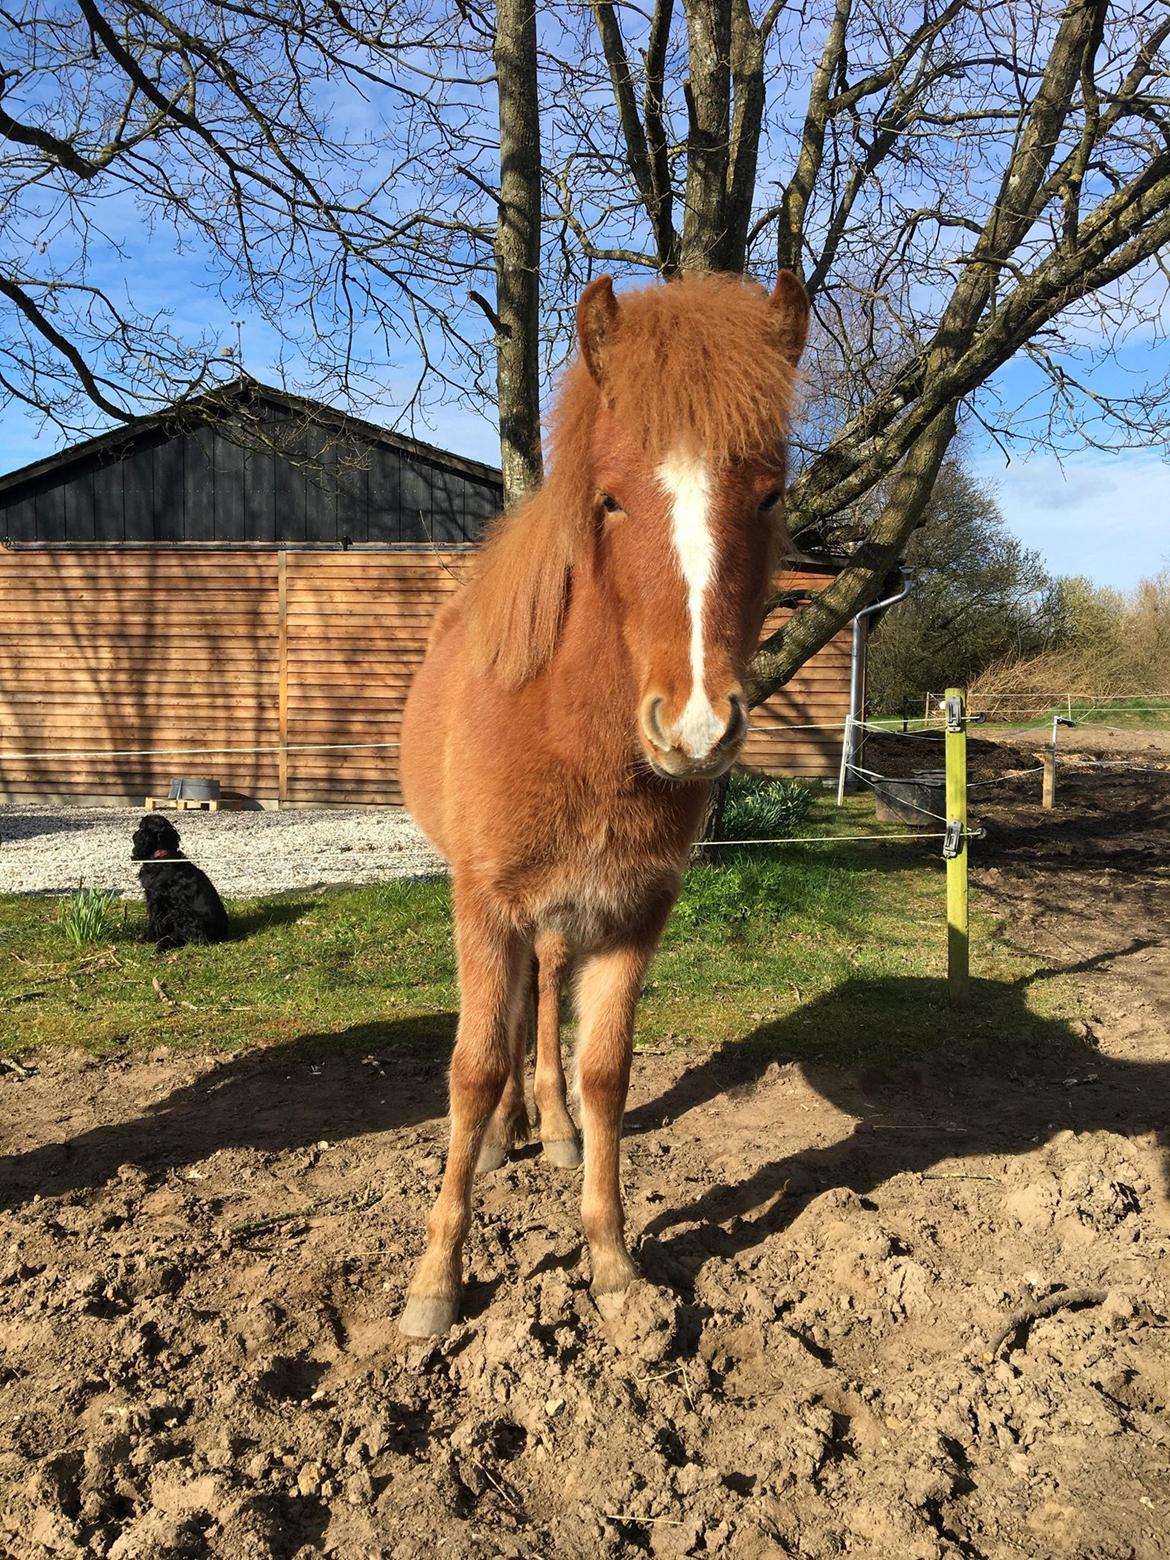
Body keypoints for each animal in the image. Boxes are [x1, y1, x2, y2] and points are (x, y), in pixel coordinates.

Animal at [131, 817, 230, 948]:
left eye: (141, 827)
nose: (134, 834)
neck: (163, 857)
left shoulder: (155, 900)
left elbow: (154, 921)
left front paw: (148, 937)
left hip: (183, 912)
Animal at [399, 265, 811, 1329]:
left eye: (770, 493)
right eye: (613, 500)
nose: (696, 726)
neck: (569, 731)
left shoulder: (633, 914)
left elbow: (604, 1072)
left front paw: (613, 1262)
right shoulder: (482, 904)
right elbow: (472, 1067)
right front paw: (435, 1283)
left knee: (544, 1000)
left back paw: (548, 1128)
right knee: (510, 1021)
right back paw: (506, 1137)